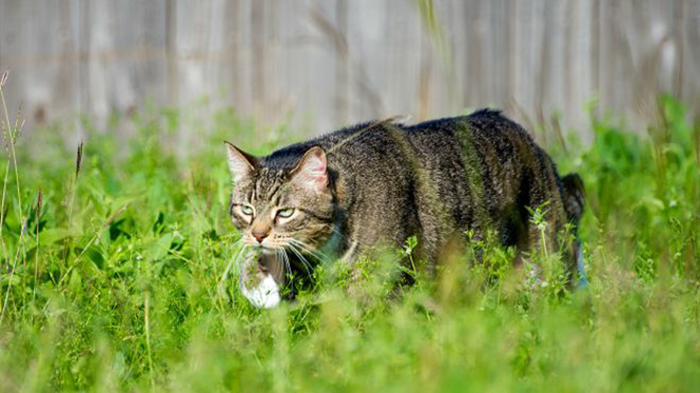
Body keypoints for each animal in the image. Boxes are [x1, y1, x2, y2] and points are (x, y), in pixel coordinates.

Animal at [226, 109, 584, 306]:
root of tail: (538, 148)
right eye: (246, 210)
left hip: (546, 254)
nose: (258, 234)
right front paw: (257, 282)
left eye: (285, 212)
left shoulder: (379, 280)